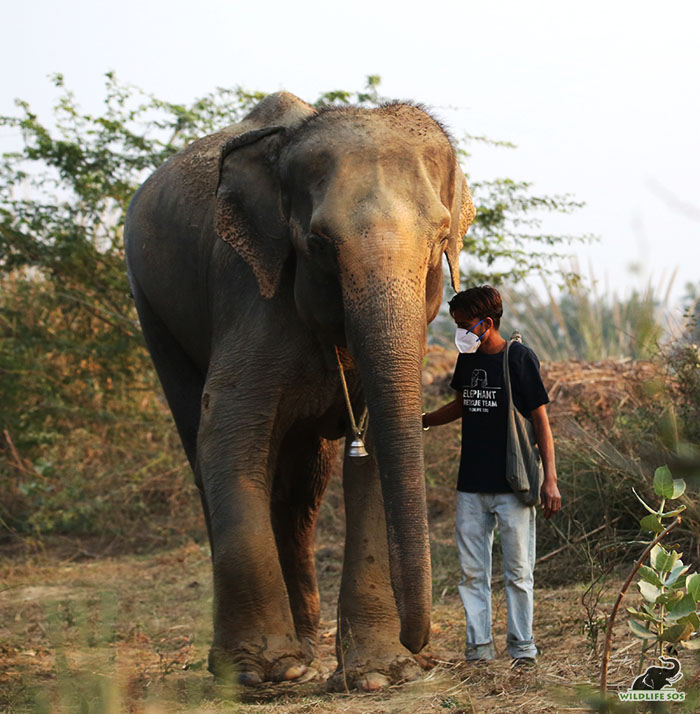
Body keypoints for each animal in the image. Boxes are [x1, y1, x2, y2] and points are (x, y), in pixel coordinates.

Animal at [124, 92, 476, 688]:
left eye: (439, 238)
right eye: (318, 244)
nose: (421, 646)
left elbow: (375, 447)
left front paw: (379, 674)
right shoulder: (251, 294)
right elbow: (226, 429)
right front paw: (264, 672)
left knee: (301, 485)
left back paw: (308, 650)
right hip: (151, 306)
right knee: (208, 448)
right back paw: (267, 664)